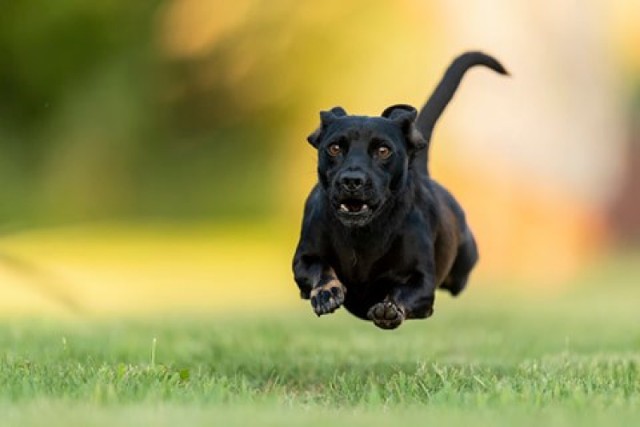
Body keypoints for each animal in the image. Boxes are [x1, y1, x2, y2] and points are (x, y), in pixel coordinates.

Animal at [292, 51, 508, 332]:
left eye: (383, 150)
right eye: (334, 148)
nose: (352, 180)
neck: (363, 236)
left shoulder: (422, 281)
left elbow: (405, 293)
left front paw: (389, 309)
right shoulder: (303, 258)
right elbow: (319, 268)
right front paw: (326, 292)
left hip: (463, 262)